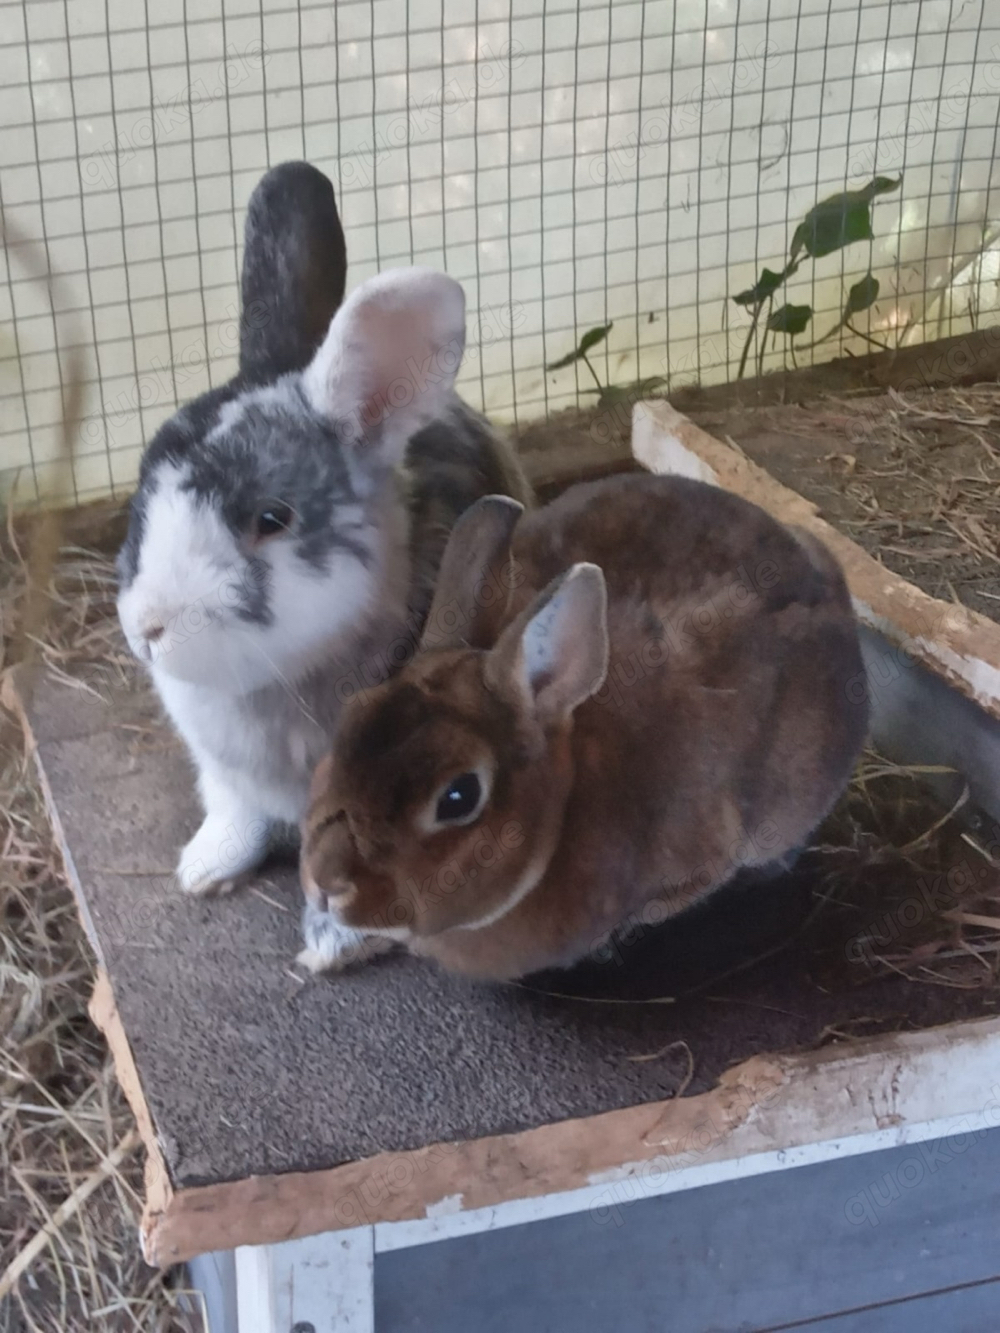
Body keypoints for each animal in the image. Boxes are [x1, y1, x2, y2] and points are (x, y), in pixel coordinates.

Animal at [117, 163, 533, 895]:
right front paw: (203, 871)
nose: (148, 630)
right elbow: (236, 818)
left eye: (271, 518)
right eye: (143, 484)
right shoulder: (224, 778)